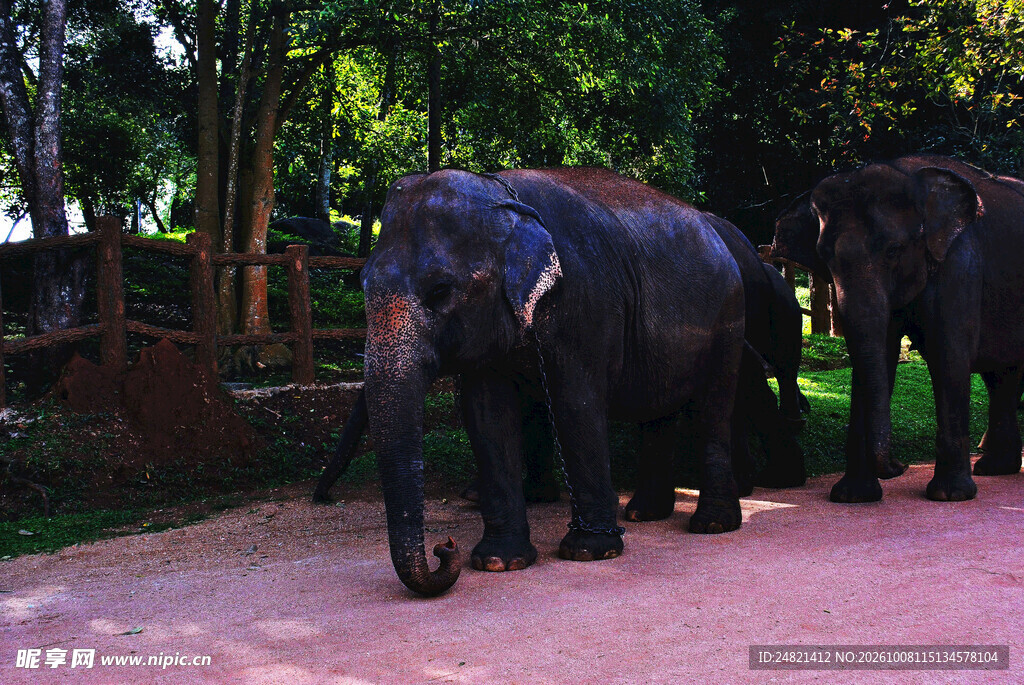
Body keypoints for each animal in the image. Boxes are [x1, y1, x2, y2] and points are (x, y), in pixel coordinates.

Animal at [356, 167, 746, 596]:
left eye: (440, 290)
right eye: (362, 284)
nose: (445, 547)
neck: (504, 196)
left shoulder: (585, 302)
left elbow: (575, 402)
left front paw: (590, 552)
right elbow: (487, 415)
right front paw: (499, 562)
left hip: (728, 317)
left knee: (714, 408)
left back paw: (712, 525)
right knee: (658, 413)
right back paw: (644, 515)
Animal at [771, 154, 1024, 504]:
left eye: (893, 250)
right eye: (825, 257)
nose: (900, 466)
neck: (906, 173)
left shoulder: (959, 264)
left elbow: (948, 357)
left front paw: (949, 496)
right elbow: (879, 354)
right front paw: (853, 497)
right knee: (1002, 376)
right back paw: (996, 468)